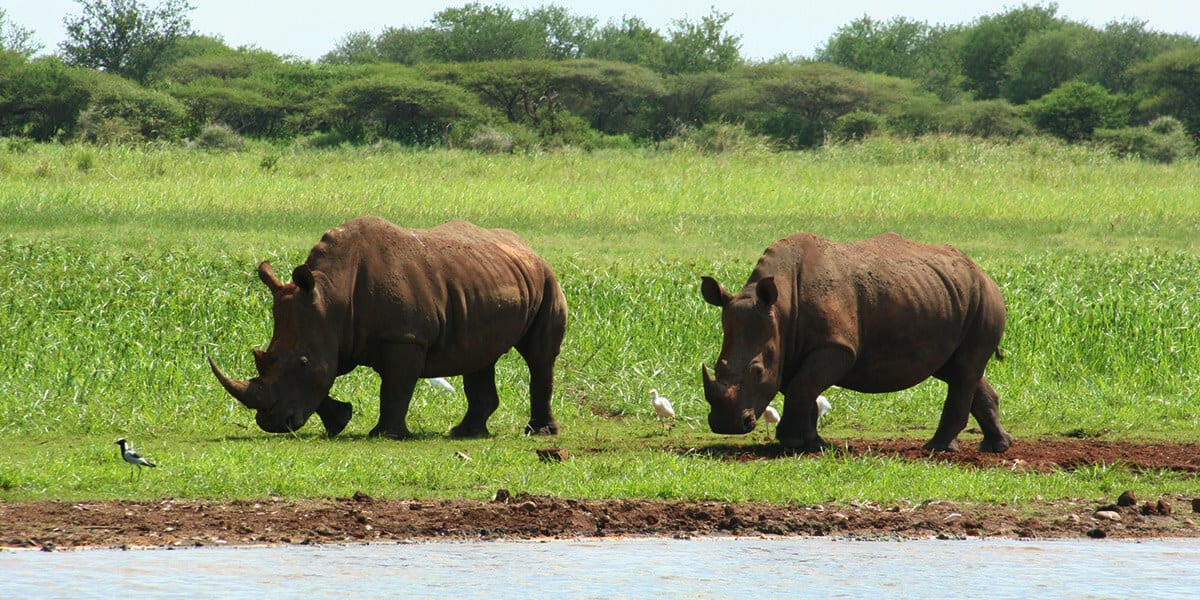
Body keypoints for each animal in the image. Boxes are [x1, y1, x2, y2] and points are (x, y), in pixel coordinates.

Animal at [209, 216, 567, 439]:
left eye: (302, 361)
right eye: (264, 356)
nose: (273, 424)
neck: (331, 295)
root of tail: (529, 248)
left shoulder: (405, 338)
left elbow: (395, 388)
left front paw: (386, 435)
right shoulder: (334, 335)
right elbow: (324, 378)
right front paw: (340, 420)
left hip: (548, 279)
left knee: (539, 357)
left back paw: (538, 432)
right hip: (485, 280)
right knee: (480, 354)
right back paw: (465, 432)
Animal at [700, 232, 1012, 453]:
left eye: (757, 371)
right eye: (717, 366)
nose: (726, 425)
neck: (781, 306)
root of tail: (983, 272)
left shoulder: (836, 346)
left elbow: (802, 386)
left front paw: (792, 442)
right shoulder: (790, 345)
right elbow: (803, 389)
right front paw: (813, 443)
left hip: (984, 298)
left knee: (964, 369)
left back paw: (938, 449)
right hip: (947, 297)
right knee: (956, 370)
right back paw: (997, 447)